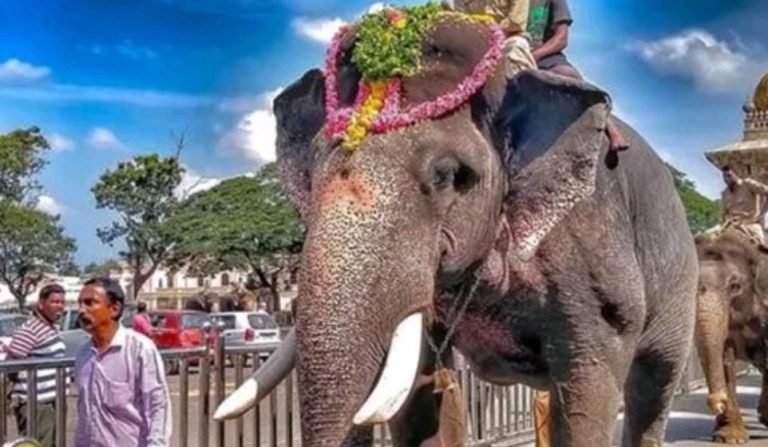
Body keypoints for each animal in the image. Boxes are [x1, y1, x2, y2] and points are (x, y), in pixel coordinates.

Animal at [215, 10, 697, 447]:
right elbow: (419, 395)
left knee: (652, 389)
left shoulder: (591, 246)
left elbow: (587, 393)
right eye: (313, 172)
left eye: (448, 175)